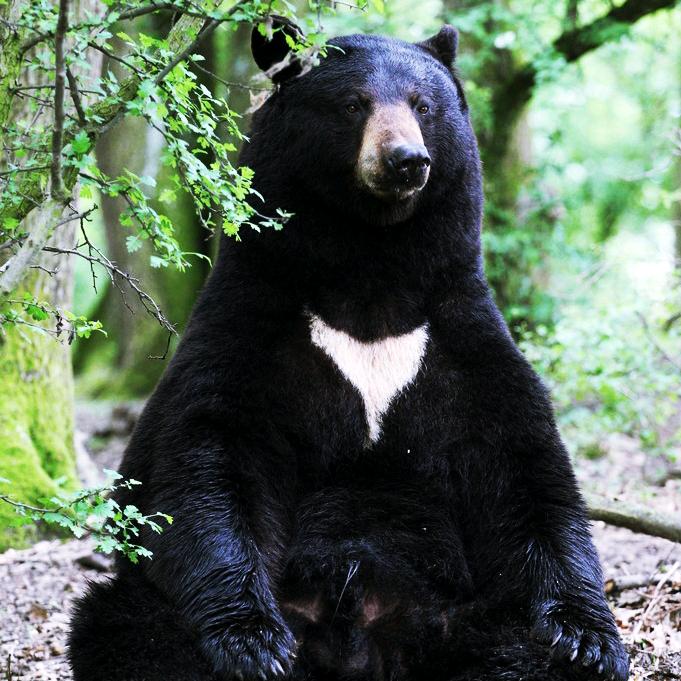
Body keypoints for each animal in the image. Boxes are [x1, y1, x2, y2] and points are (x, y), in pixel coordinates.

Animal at [68, 19, 629, 681]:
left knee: (519, 644)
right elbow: (205, 456)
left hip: (462, 617)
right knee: (129, 625)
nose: (406, 159)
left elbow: (524, 470)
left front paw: (587, 636)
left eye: (423, 105)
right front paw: (251, 640)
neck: (369, 280)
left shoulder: (456, 333)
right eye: (354, 104)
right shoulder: (254, 319)